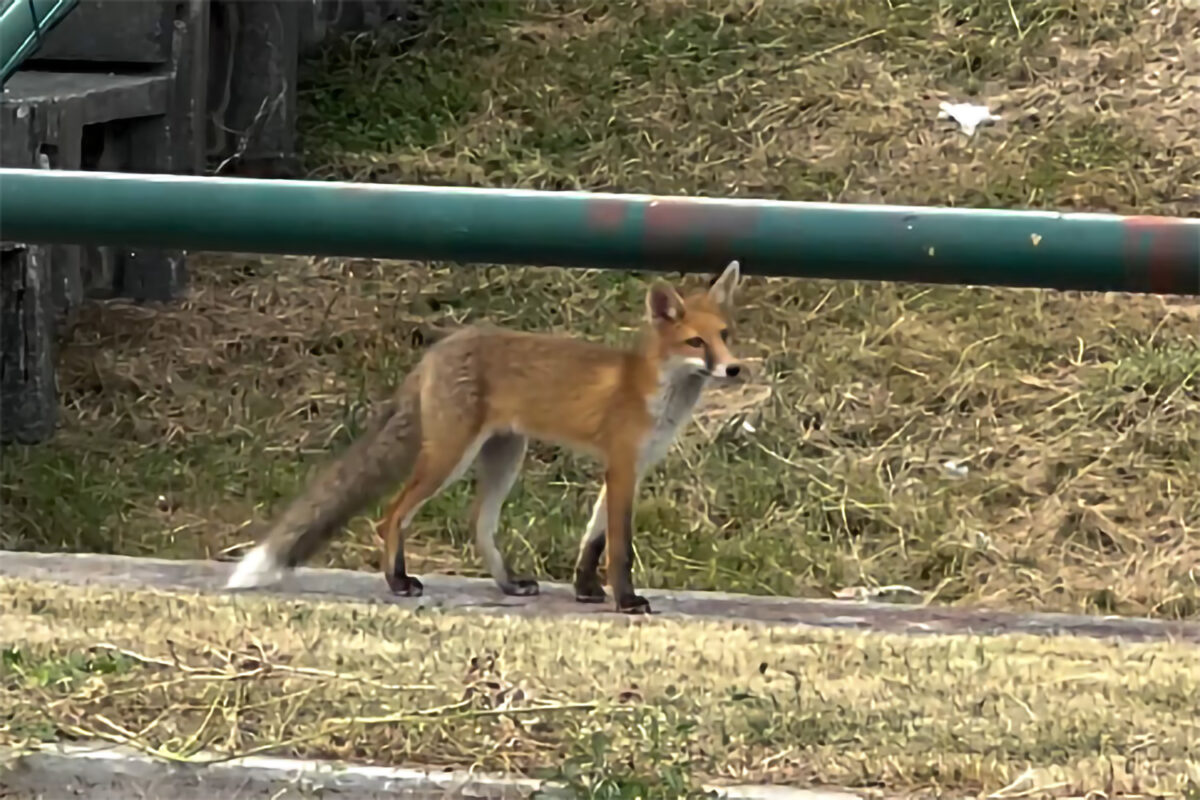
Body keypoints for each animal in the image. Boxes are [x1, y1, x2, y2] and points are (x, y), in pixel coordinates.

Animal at [225, 257, 744, 614]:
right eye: (696, 342)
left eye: (725, 335)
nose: (735, 369)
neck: (653, 391)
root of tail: (437, 350)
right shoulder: (620, 466)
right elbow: (618, 548)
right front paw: (626, 599)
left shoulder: (629, 469)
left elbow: (592, 541)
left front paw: (585, 590)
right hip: (450, 457)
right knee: (391, 516)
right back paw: (398, 582)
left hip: (504, 454)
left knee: (478, 523)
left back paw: (508, 585)